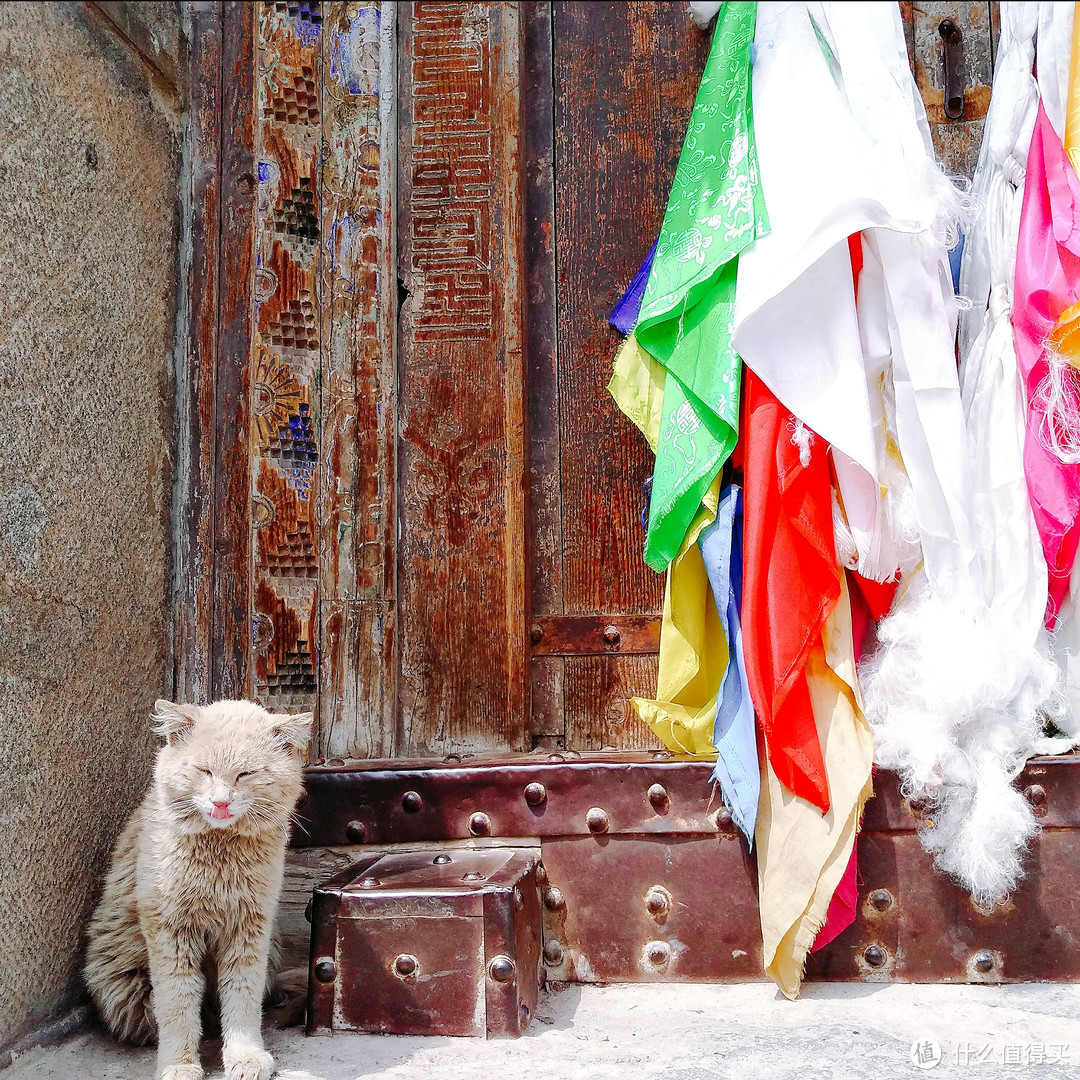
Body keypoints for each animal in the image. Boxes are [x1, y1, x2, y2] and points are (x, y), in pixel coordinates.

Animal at [84, 699, 311, 1080]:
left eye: (244, 774)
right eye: (204, 771)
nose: (220, 802)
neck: (219, 855)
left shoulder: (249, 929)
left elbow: (242, 1000)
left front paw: (245, 1057)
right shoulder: (170, 931)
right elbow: (177, 1007)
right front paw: (179, 1065)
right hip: (127, 989)